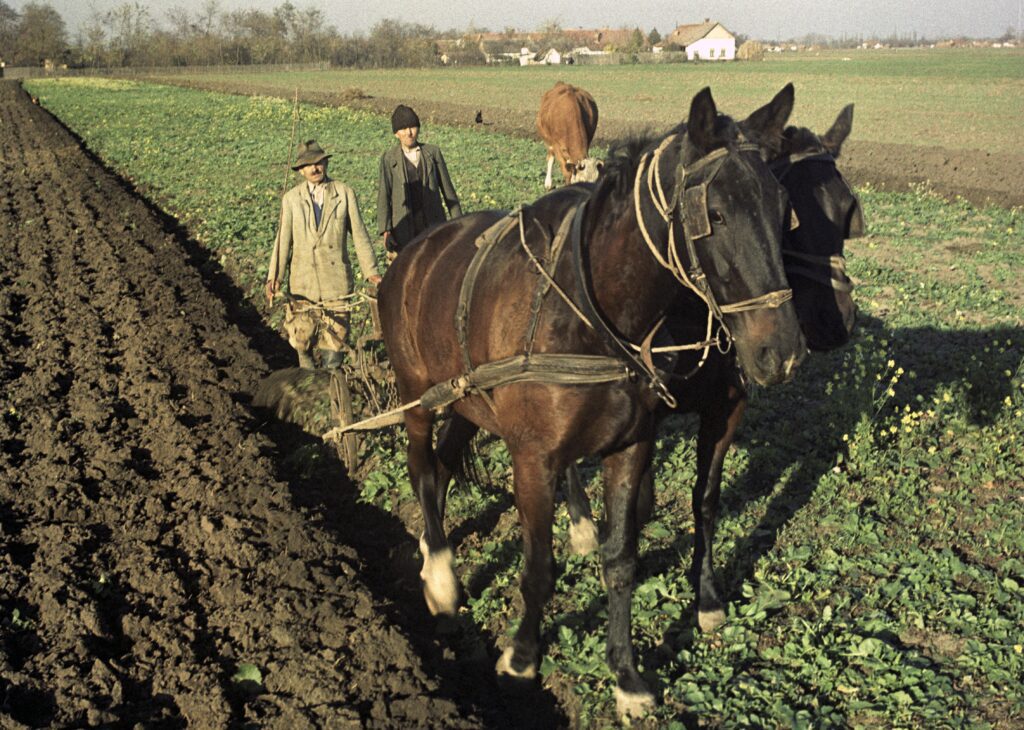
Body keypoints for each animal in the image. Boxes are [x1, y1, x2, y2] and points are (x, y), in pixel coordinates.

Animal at [380, 85, 802, 716]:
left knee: (448, 462)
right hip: (415, 399)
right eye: (714, 214)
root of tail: (412, 253)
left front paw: (626, 676)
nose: (784, 351)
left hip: (469, 401)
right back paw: (439, 578)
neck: (592, 312)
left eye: (781, 207)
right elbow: (537, 566)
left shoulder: (630, 445)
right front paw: (521, 657)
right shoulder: (532, 458)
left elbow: (621, 559)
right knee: (423, 470)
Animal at [561, 100, 864, 630]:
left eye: (846, 211)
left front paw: (705, 594)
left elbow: (705, 498)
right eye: (795, 219)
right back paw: (580, 522)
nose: (836, 323)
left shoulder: (726, 408)